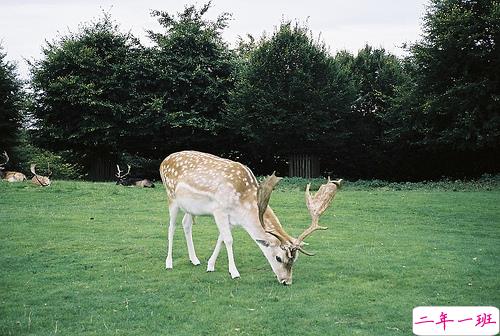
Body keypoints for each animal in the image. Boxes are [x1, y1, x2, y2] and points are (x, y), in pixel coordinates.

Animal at [158, 151, 342, 284]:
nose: (286, 281)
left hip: (190, 208)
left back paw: (195, 260)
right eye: (278, 257)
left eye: (295, 260)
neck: (243, 206)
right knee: (171, 227)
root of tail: (163, 161)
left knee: (186, 224)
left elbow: (221, 239)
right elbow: (229, 240)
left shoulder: (231, 218)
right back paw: (169, 263)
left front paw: (210, 265)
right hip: (171, 196)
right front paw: (234, 272)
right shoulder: (219, 210)